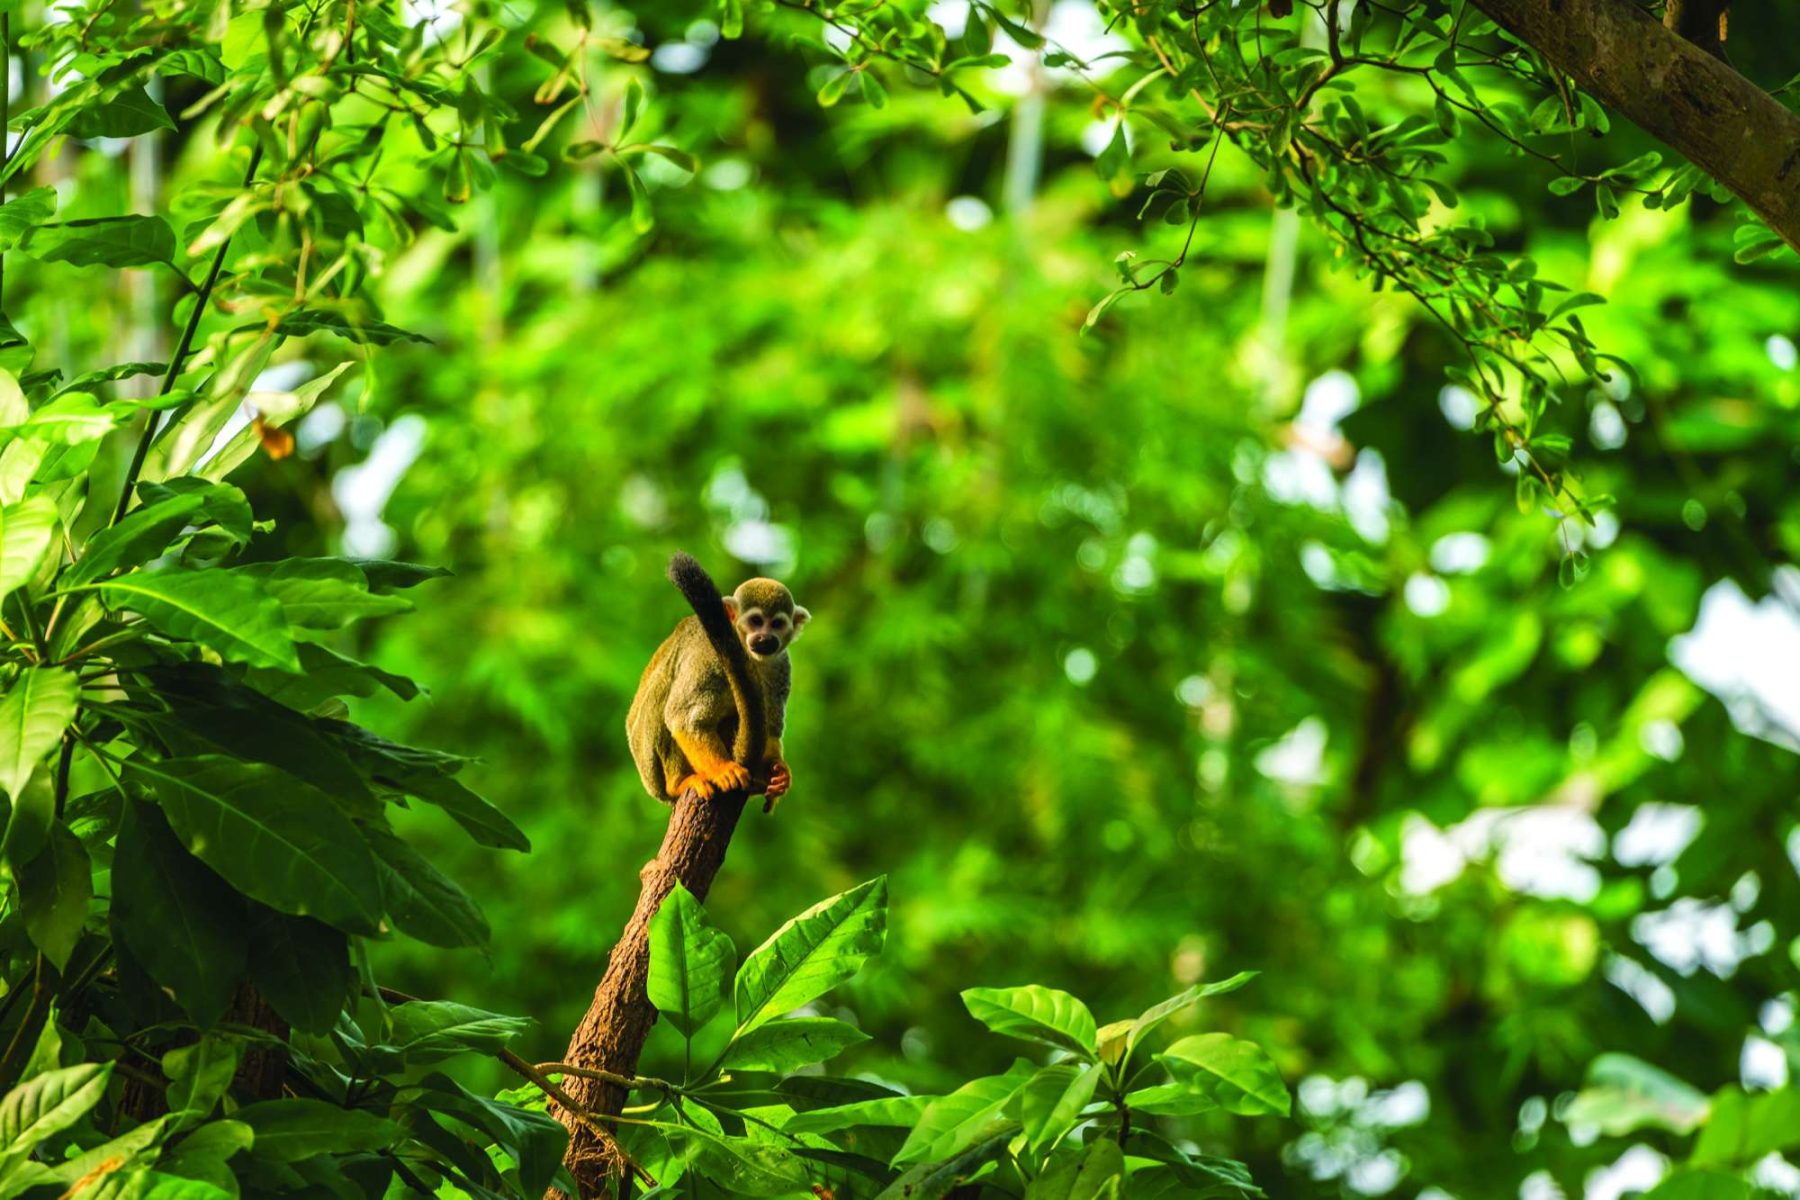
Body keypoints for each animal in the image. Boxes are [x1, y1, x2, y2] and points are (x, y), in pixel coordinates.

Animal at [626, 555, 810, 810]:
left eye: (777, 624)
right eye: (756, 621)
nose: (765, 638)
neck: (747, 654)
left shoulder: (781, 663)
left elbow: (772, 726)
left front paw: (778, 771)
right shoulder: (707, 654)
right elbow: (684, 717)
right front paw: (723, 770)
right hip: (649, 767)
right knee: (662, 700)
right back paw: (678, 783)